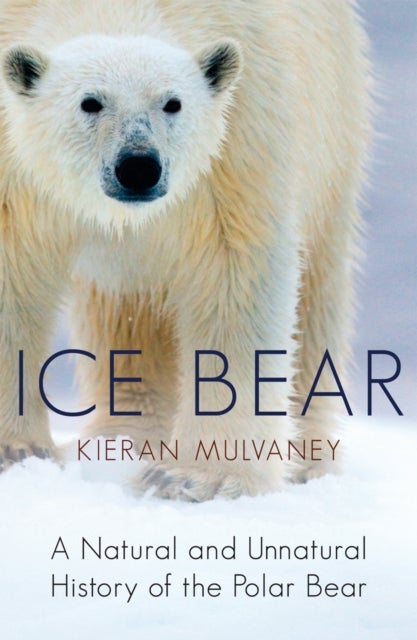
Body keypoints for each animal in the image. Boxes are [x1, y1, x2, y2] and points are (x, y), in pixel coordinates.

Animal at [0, 0, 371, 500]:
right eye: (90, 102)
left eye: (172, 102)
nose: (138, 166)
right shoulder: (13, 171)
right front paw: (18, 452)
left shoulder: (238, 139)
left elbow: (231, 277)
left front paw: (195, 477)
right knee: (124, 311)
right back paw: (123, 438)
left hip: (336, 133)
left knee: (316, 298)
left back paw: (306, 461)